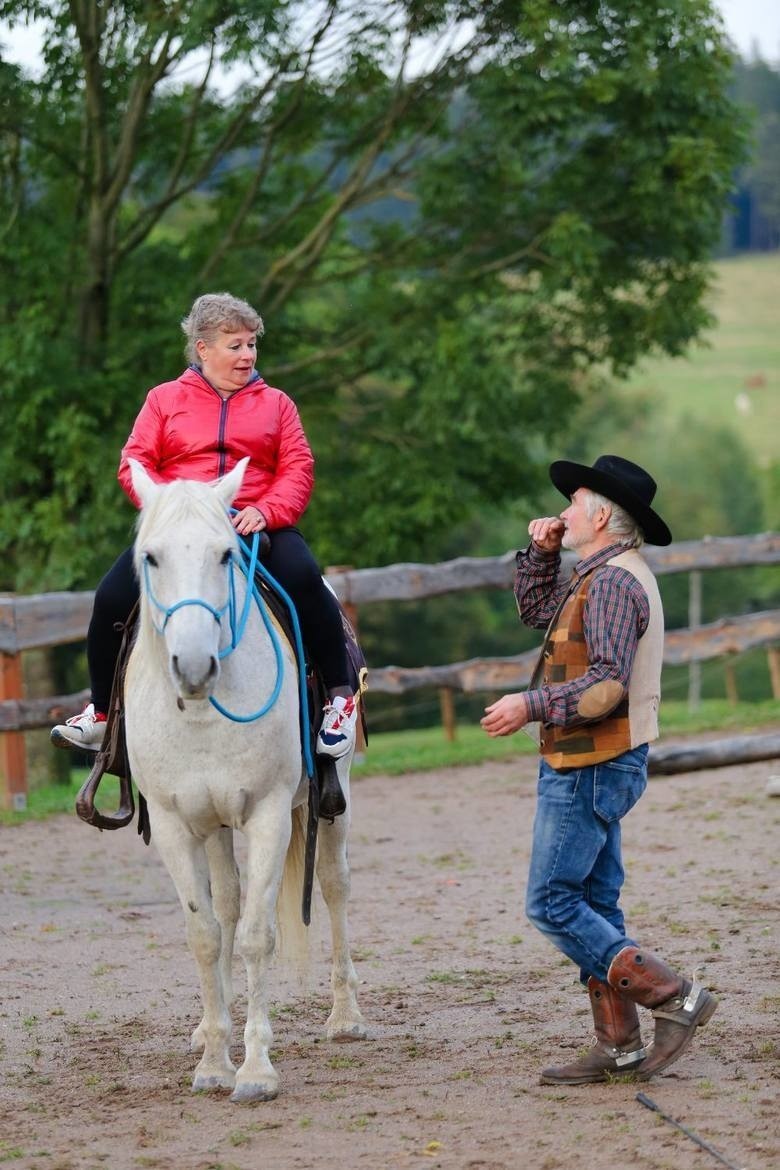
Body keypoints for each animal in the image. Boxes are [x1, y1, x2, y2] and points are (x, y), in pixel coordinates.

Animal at [123, 458, 367, 1104]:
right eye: (150, 556)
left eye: (226, 553)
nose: (193, 666)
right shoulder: (177, 825)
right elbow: (207, 932)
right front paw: (213, 1060)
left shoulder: (267, 815)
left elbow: (259, 935)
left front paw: (255, 1070)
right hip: (213, 825)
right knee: (228, 905)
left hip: (333, 801)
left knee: (333, 886)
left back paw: (345, 1017)